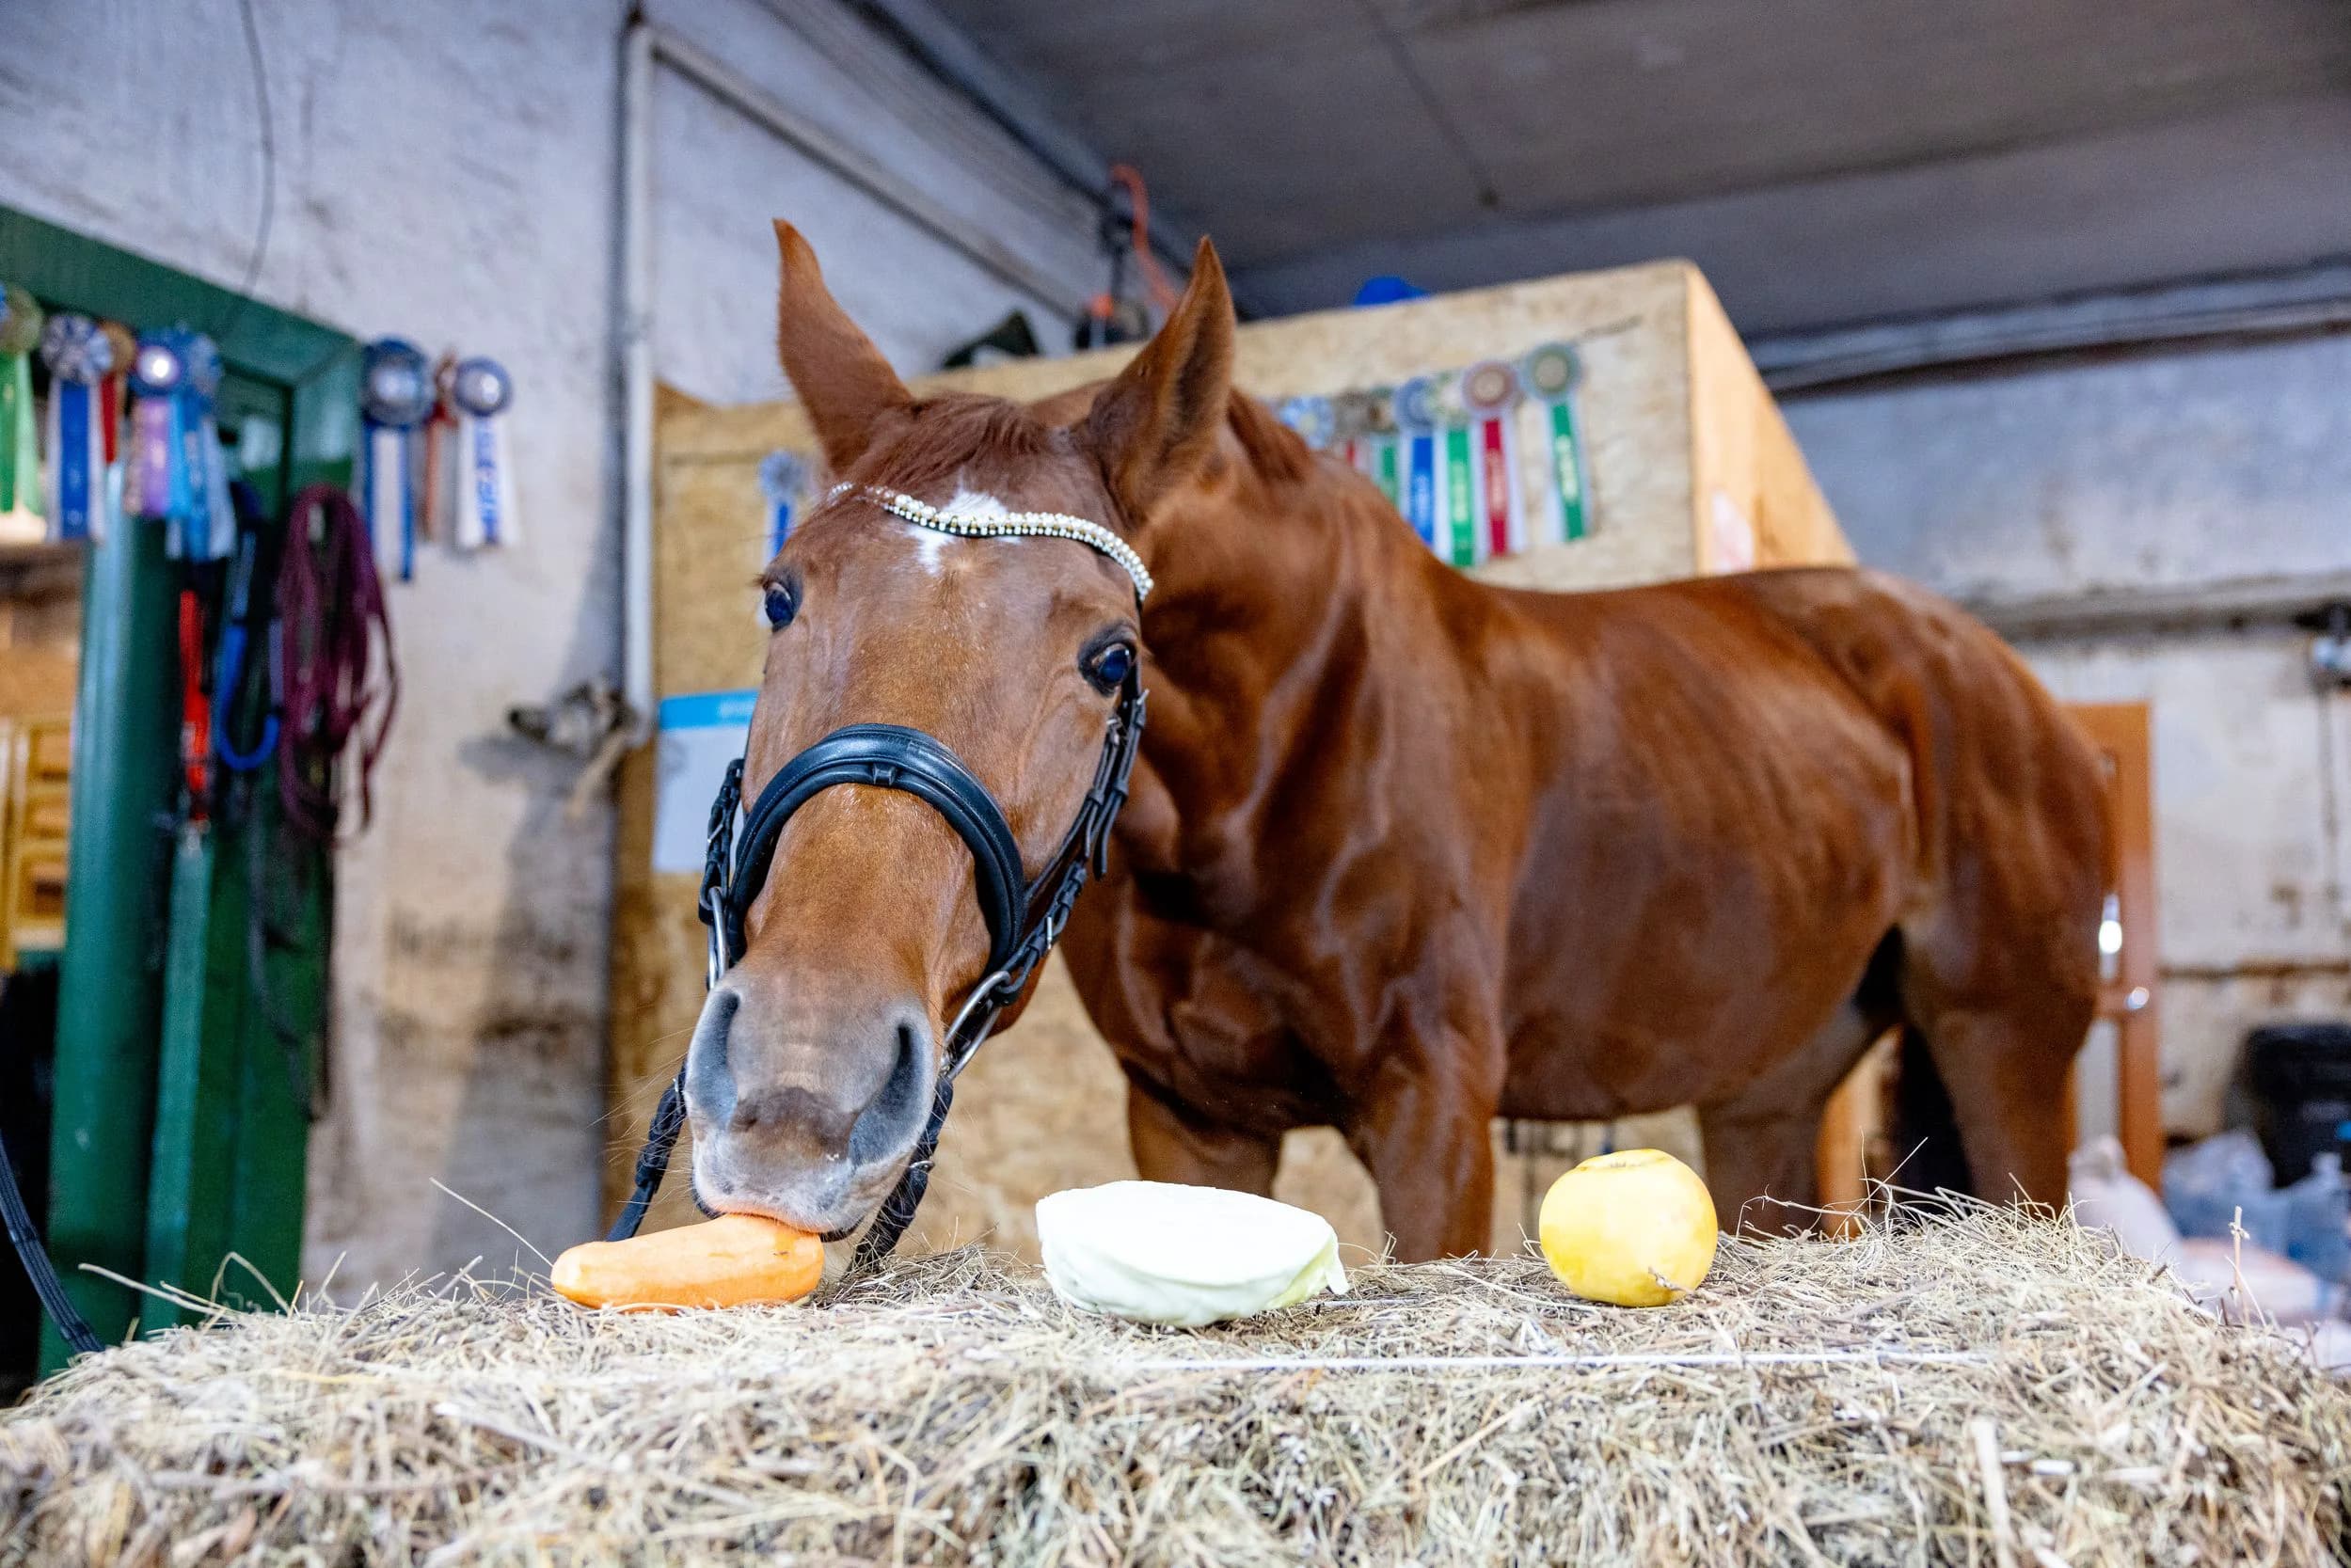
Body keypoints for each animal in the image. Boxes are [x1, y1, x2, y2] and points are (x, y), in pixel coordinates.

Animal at [680, 221, 2109, 1259]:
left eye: (1109, 657)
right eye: (779, 594)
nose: (795, 1088)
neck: (1261, 778)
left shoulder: (1434, 1112)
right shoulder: (1189, 1118)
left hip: (2004, 1046)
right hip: (1768, 1083)